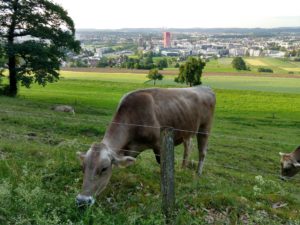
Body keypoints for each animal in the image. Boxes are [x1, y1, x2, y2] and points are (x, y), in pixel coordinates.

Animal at [75, 86, 216, 206]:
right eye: (83, 167)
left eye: (104, 168)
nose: (82, 200)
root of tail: (205, 87)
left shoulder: (159, 145)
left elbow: (162, 164)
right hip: (186, 132)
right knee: (188, 148)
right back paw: (183, 168)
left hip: (205, 129)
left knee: (202, 152)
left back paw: (198, 174)